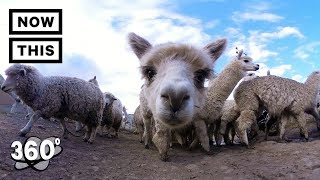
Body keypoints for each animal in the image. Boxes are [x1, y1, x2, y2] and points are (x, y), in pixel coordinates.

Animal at [126, 32, 226, 160]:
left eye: (200, 76)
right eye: (149, 72)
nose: (175, 98)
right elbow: (163, 131)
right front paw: (163, 152)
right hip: (145, 110)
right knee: (147, 126)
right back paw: (147, 143)